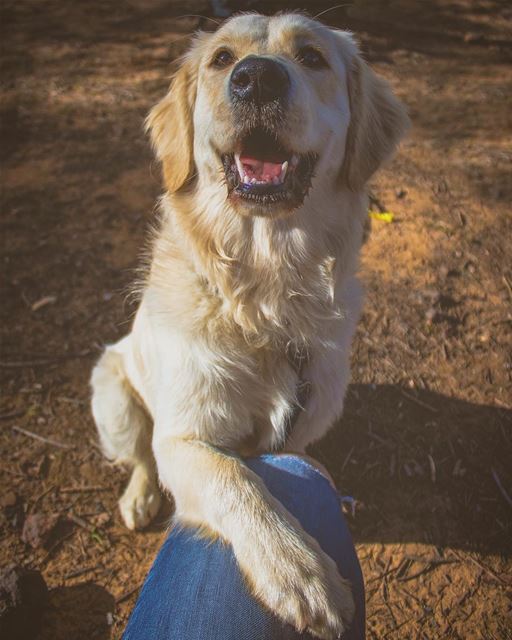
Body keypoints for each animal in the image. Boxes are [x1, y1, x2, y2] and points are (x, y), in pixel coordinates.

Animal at [91, 11, 408, 640]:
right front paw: (297, 568)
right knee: (138, 456)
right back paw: (139, 497)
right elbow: (234, 479)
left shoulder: (305, 421)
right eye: (221, 59)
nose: (256, 78)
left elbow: (292, 462)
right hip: (112, 392)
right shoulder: (183, 437)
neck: (266, 293)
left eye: (311, 57)